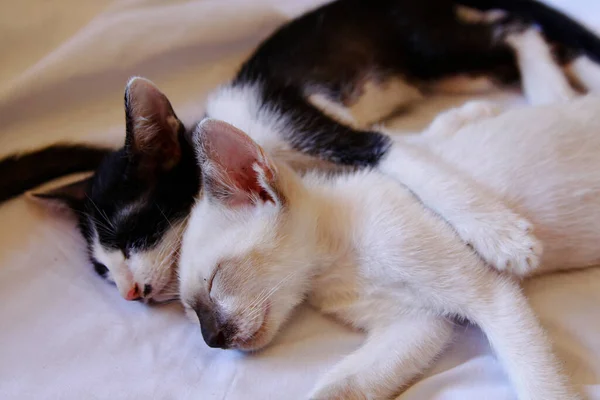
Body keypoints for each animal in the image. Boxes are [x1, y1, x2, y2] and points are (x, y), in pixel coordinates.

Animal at [3, 0, 600, 304]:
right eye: (102, 269)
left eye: (132, 229)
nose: (128, 291)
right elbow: (421, 143)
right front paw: (468, 119)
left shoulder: (292, 114)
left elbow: (395, 153)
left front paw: (500, 234)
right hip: (442, 70)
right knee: (507, 44)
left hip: (422, 45)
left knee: (516, 28)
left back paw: (555, 88)